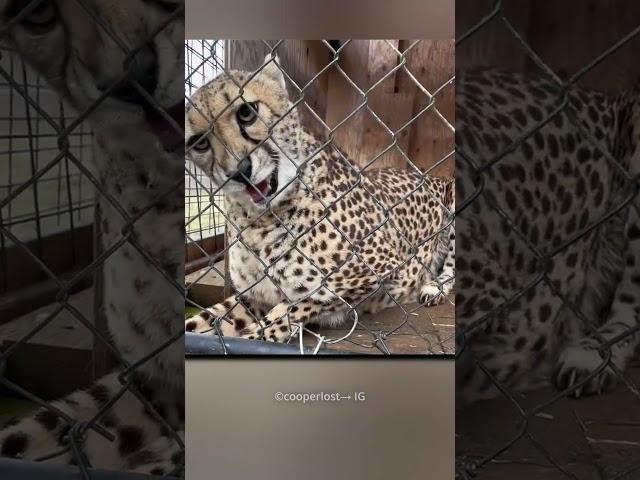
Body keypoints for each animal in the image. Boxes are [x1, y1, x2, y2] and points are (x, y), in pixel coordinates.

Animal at [184, 53, 456, 344]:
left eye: (247, 112)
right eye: (199, 143)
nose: (239, 171)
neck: (259, 218)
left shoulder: (382, 268)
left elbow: (297, 305)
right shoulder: (253, 296)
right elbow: (205, 321)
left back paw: (434, 287)